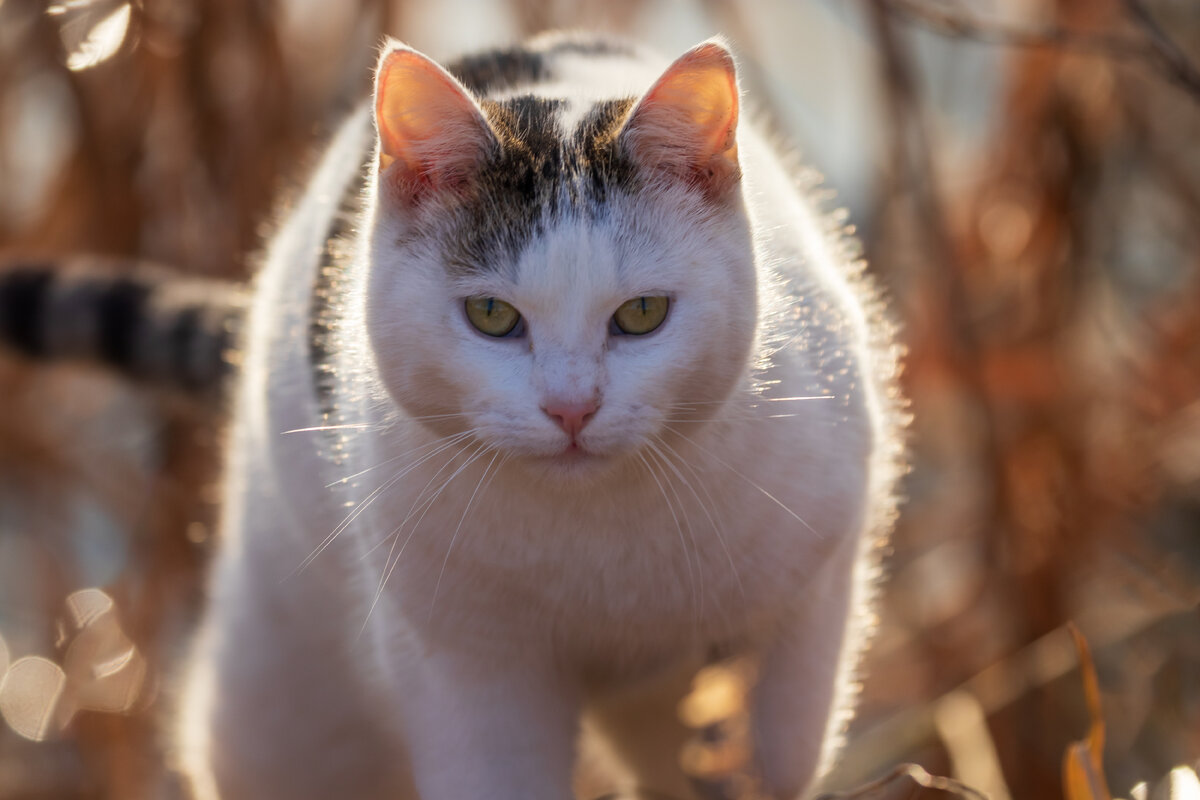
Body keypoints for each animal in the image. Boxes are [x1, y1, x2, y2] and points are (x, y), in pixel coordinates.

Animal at [28, 28, 902, 800]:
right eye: (491, 316)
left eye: (642, 314)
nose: (572, 408)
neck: (603, 554)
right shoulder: (469, 674)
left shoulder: (808, 594)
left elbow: (773, 756)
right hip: (285, 712)